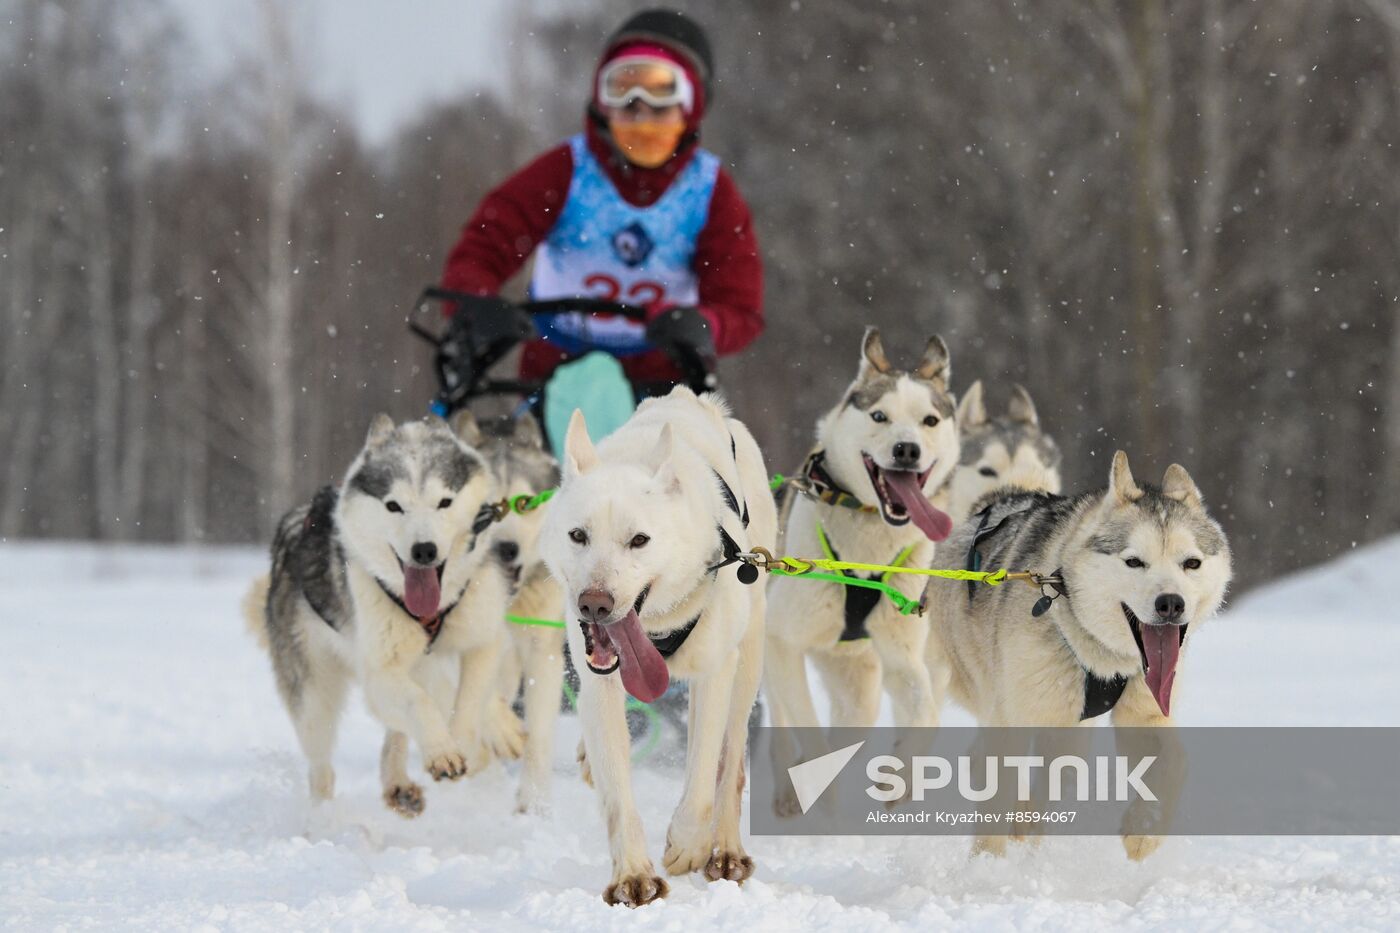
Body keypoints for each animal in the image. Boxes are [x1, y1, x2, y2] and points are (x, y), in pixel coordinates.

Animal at [246, 414, 520, 812]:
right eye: (394, 506)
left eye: (444, 502)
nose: (424, 550)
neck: (434, 610)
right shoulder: (381, 669)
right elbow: (419, 702)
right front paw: (443, 751)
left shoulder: (483, 638)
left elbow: (471, 698)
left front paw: (477, 734)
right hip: (314, 697)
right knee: (322, 765)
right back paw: (325, 813)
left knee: (401, 724)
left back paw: (400, 781)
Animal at [537, 383, 778, 902]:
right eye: (578, 535)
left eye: (640, 540)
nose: (595, 604)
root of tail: (691, 397)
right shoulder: (600, 684)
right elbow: (617, 791)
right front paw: (633, 875)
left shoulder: (714, 674)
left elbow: (704, 778)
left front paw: (687, 847)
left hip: (747, 660)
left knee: (730, 763)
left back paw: (725, 851)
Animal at [767, 323, 963, 778]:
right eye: (879, 416)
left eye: (929, 420)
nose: (907, 449)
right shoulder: (781, 640)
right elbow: (807, 733)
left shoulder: (903, 659)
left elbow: (925, 718)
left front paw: (901, 778)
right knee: (778, 729)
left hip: (858, 687)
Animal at [924, 448, 1232, 851]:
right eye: (1134, 561)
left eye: (1191, 563)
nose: (1171, 603)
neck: (1098, 657)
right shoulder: (1011, 721)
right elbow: (995, 805)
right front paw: (988, 865)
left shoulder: (1144, 714)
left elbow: (1176, 764)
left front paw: (1144, 831)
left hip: (1068, 731)